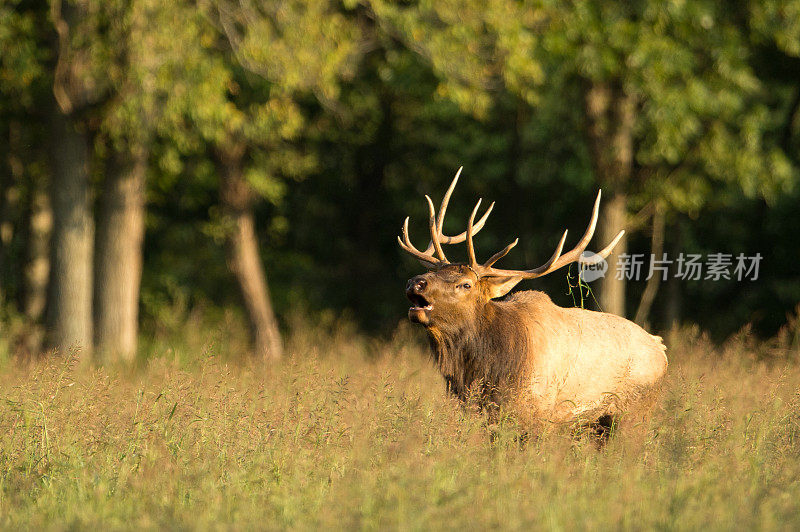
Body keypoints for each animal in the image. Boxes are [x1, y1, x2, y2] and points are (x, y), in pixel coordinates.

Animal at [400, 168, 668, 430]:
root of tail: (662, 350)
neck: (492, 369)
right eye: (434, 272)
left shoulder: (538, 413)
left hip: (634, 413)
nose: (416, 282)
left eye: (465, 284)